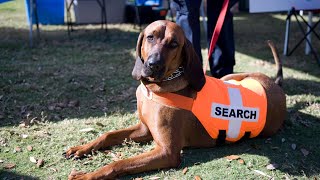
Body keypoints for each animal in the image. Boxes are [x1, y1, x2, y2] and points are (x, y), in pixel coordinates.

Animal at [66, 20, 286, 180]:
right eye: (150, 37)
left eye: (174, 44)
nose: (153, 64)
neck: (154, 89)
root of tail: (277, 86)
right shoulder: (145, 129)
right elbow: (108, 135)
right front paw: (81, 148)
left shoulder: (167, 152)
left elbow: (119, 163)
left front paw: (87, 176)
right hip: (231, 77)